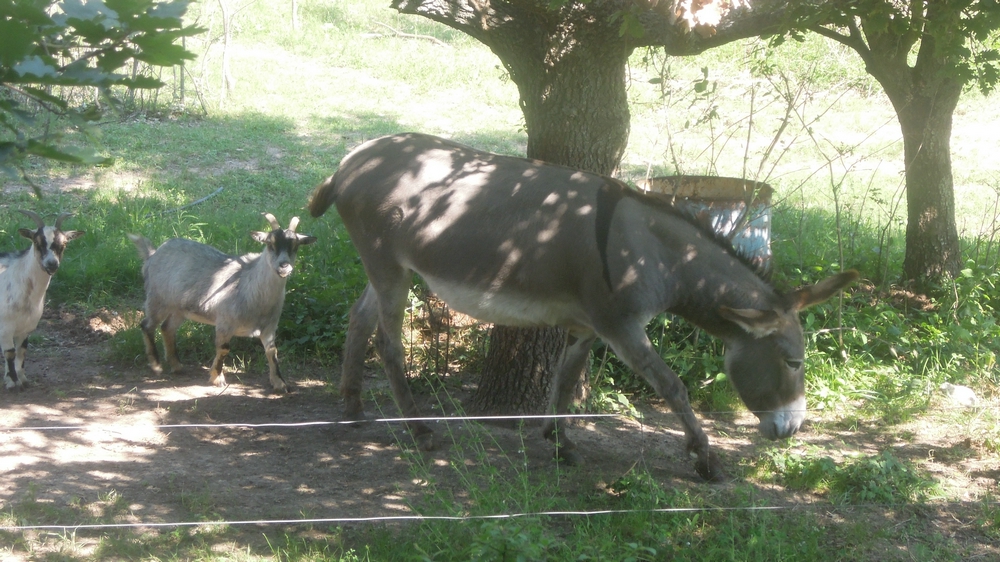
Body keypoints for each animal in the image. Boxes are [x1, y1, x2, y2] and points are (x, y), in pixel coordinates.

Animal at [0, 210, 85, 390]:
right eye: (36, 241)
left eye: (64, 244)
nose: (51, 264)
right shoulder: (5, 326)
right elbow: (10, 353)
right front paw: (12, 382)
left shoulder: (25, 328)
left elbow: (21, 351)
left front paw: (22, 379)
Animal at [129, 212, 314, 392]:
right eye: (270, 243)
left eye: (296, 245)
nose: (284, 267)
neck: (250, 286)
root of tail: (152, 254)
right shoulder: (225, 322)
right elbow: (224, 348)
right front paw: (217, 378)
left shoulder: (269, 326)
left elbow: (272, 352)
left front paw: (279, 383)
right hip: (157, 299)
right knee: (147, 325)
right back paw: (156, 365)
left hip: (180, 309)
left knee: (167, 328)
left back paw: (177, 366)